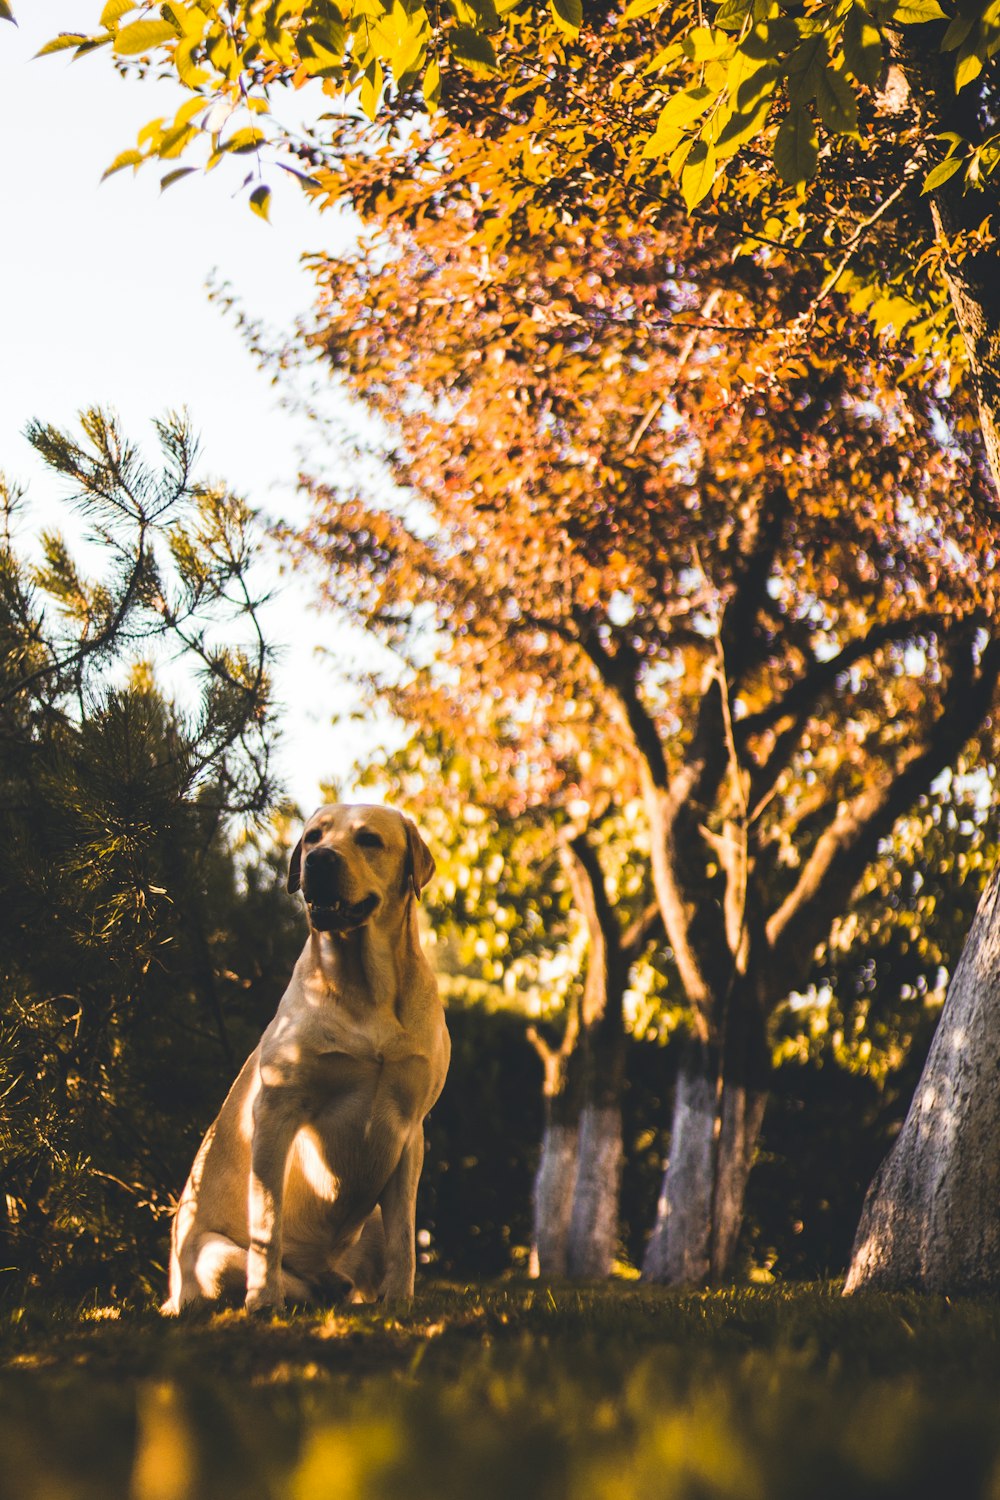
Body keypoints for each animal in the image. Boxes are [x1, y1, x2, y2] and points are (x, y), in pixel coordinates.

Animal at [164, 810, 449, 1314]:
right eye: (313, 836)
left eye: (369, 839)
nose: (318, 860)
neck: (366, 989)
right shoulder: (277, 1110)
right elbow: (268, 1224)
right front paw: (264, 1299)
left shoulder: (410, 1128)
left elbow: (405, 1237)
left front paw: (400, 1301)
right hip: (211, 1257)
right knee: (281, 1276)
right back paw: (304, 1291)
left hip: (371, 1219)